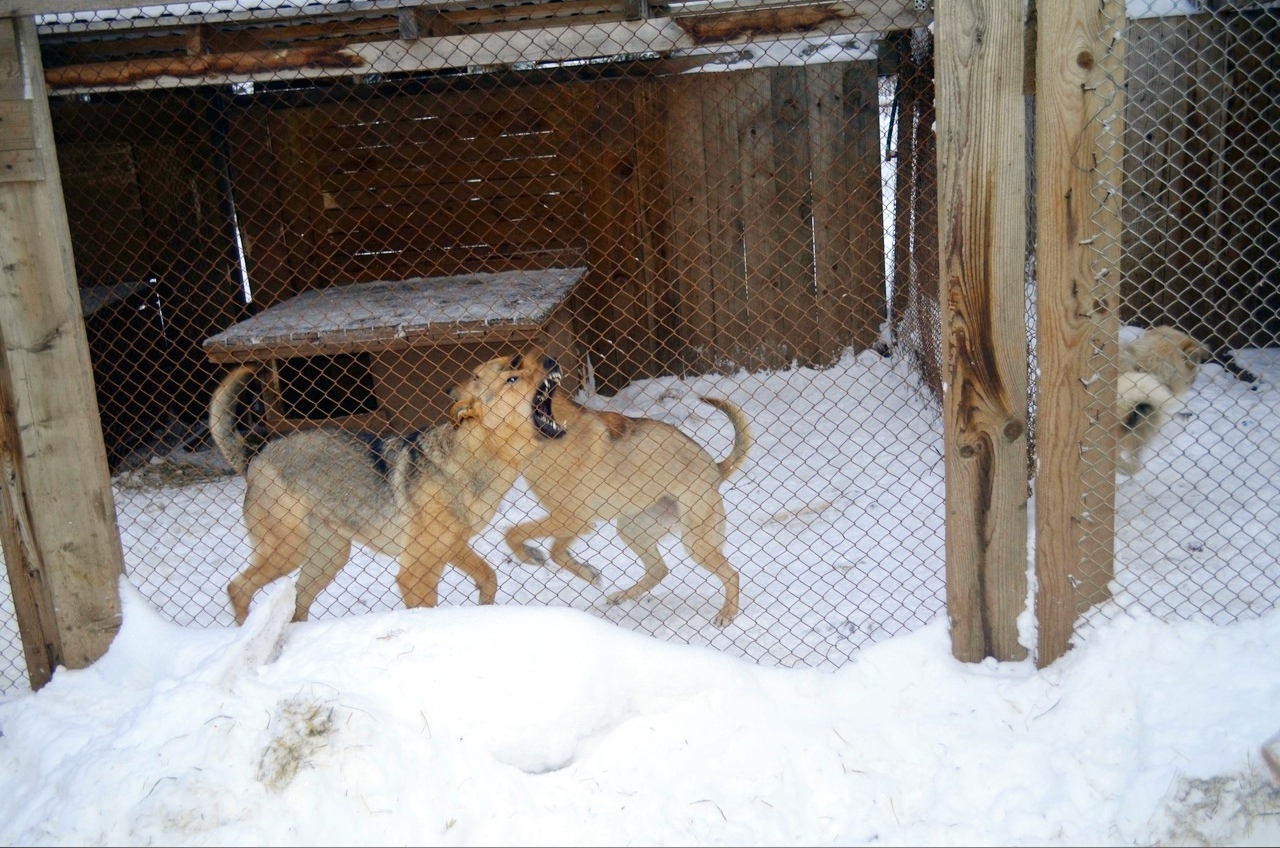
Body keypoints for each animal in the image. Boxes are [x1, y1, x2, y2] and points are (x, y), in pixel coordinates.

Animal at [209, 350, 560, 625]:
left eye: (520, 367)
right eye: (511, 380)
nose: (551, 359)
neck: (471, 462)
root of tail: (255, 456)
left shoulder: (451, 548)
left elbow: (489, 577)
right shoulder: (415, 571)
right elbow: (427, 610)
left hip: (328, 557)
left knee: (296, 602)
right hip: (289, 550)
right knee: (237, 588)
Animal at [504, 384, 747, 625]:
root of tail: (715, 468)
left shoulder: (575, 519)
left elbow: (515, 534)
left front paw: (531, 555)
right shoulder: (572, 521)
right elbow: (552, 550)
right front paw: (584, 571)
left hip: (695, 543)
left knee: (732, 575)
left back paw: (727, 614)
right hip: (631, 529)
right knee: (659, 570)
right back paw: (622, 596)